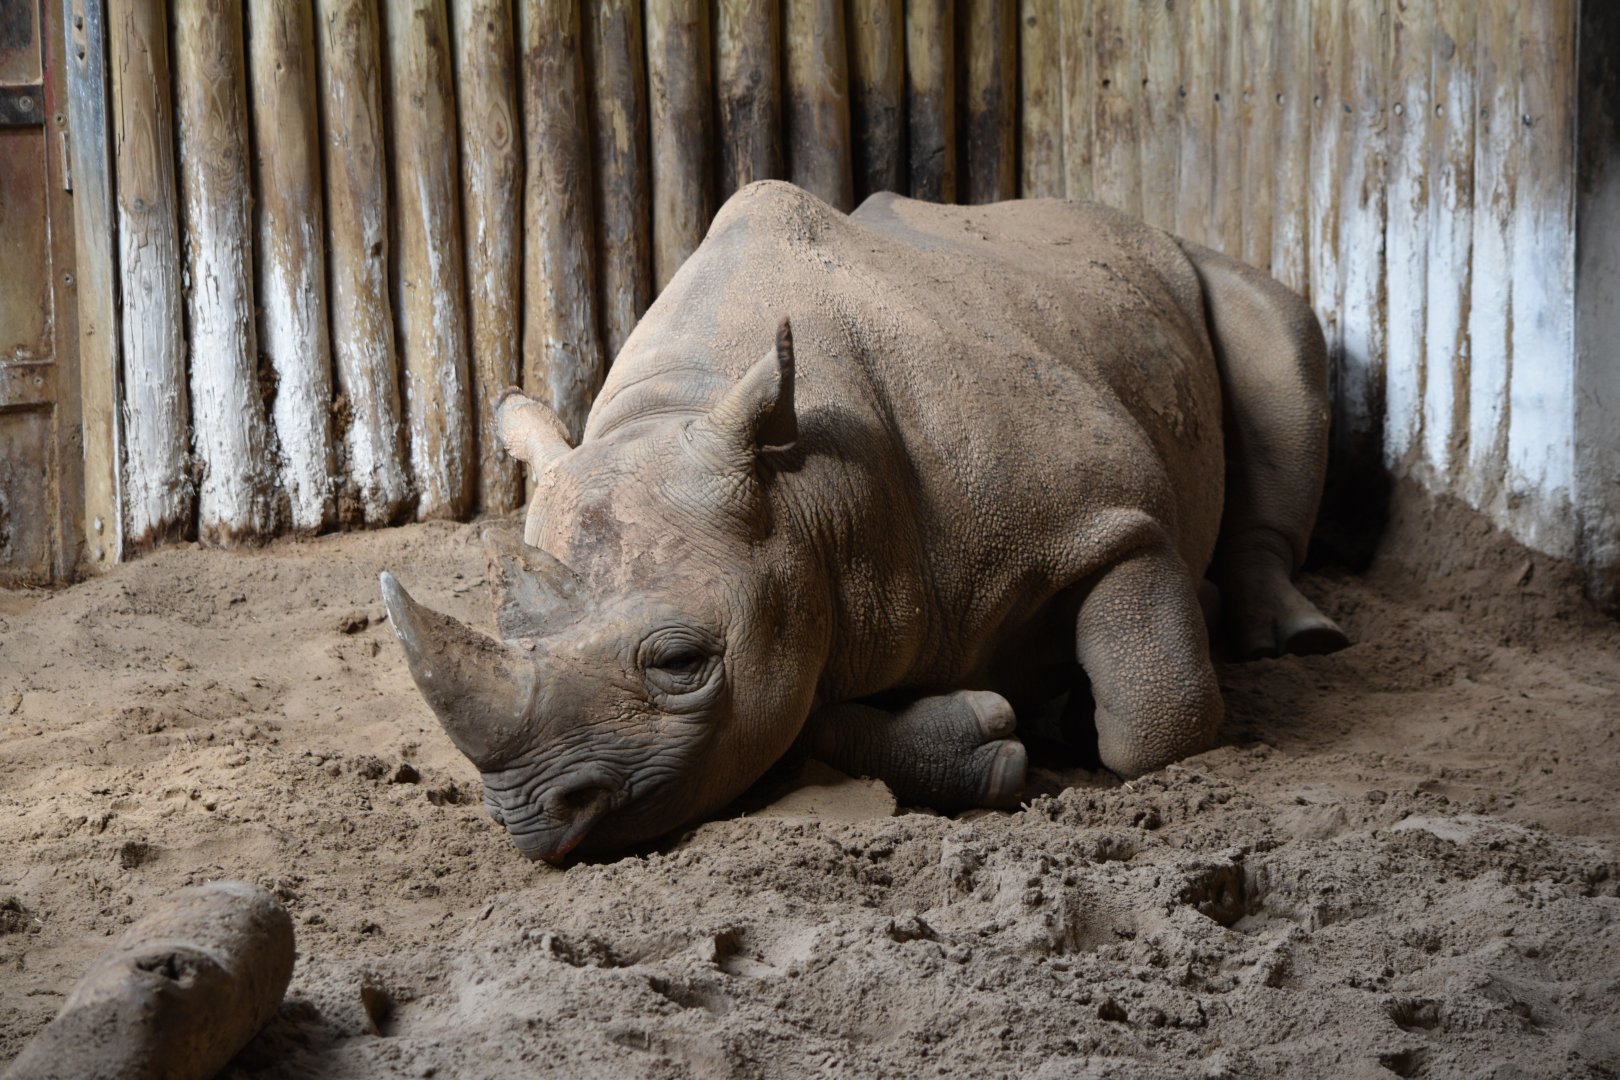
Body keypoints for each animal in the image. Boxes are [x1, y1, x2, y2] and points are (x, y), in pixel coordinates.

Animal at [380, 181, 1346, 863]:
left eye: (681, 664)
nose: (531, 820)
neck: (814, 493)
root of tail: (1121, 215)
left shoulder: (1113, 516)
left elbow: (1156, 720)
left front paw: (1074, 715)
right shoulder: (790, 589)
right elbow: (791, 714)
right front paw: (1005, 734)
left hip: (1187, 270)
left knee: (1282, 333)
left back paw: (1292, 637)